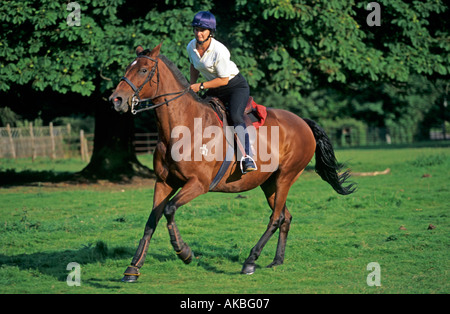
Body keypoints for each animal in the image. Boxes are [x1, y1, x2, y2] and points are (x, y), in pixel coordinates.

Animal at [108, 43, 356, 280]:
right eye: (127, 68)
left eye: (143, 70)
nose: (115, 100)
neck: (182, 129)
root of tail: (303, 122)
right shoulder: (164, 182)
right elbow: (152, 220)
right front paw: (133, 268)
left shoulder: (198, 184)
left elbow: (169, 210)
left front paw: (184, 252)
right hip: (270, 183)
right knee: (286, 217)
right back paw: (277, 261)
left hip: (286, 177)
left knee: (276, 218)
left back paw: (250, 261)